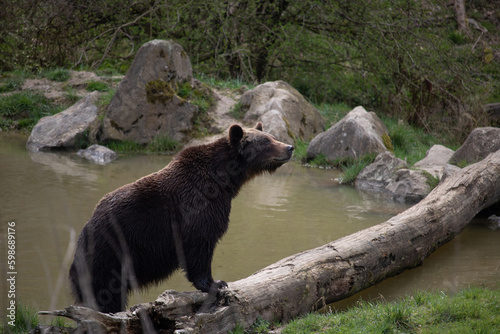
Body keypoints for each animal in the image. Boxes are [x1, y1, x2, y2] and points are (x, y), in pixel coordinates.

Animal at [67, 122, 292, 314]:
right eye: (266, 141)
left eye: (272, 137)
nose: (289, 147)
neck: (224, 180)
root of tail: (84, 232)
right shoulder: (197, 206)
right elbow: (200, 243)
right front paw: (215, 283)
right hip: (109, 253)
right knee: (103, 292)